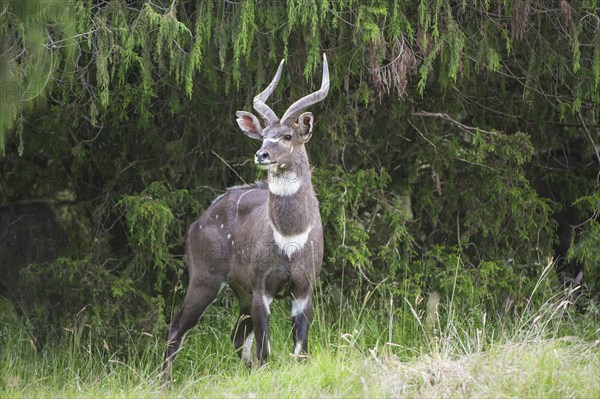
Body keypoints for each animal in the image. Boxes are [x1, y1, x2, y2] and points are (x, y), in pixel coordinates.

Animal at [162, 54, 330, 384]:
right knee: (176, 329)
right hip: (205, 280)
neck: (290, 236)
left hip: (240, 292)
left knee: (237, 336)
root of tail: (195, 225)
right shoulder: (262, 288)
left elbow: (300, 352)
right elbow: (267, 351)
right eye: (263, 136)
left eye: (287, 135)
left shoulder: (304, 288)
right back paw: (163, 383)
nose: (261, 154)